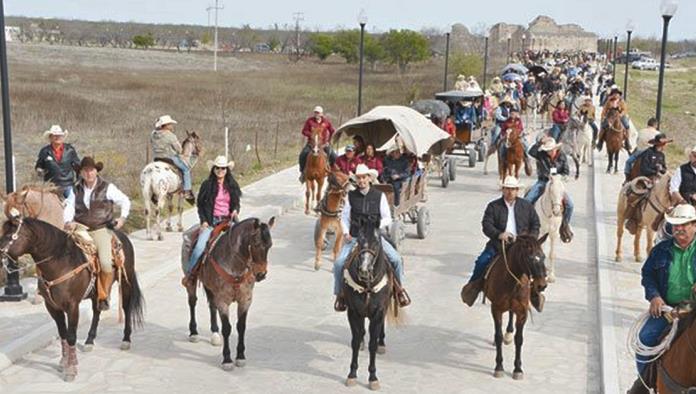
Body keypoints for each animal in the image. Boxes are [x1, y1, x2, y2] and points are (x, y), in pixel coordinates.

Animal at [0, 217, 143, 380]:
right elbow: (63, 333)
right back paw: (89, 341)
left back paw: (126, 339)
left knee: (126, 308)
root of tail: (122, 236)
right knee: (96, 311)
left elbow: (71, 336)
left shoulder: (72, 306)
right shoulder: (52, 306)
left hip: (125, 282)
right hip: (96, 293)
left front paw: (71, 369)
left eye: (10, 235)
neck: (61, 262)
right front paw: (63, 361)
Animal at [184, 217, 276, 368]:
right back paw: (194, 333)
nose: (261, 274)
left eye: (270, 245)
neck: (235, 266)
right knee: (192, 302)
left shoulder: (245, 300)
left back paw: (215, 334)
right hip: (191, 280)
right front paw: (227, 359)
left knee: (211, 305)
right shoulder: (223, 301)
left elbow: (241, 327)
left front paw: (240, 356)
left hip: (210, 287)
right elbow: (227, 328)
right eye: (256, 244)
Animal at [342, 220, 402, 390]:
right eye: (359, 241)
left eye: (376, 243)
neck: (367, 284)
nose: (364, 269)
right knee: (361, 332)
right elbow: (355, 342)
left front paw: (373, 378)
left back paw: (382, 343)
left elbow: (373, 345)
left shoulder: (378, 312)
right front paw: (352, 374)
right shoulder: (353, 312)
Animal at [482, 235, 548, 380]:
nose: (542, 285)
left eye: (543, 256)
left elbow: (519, 339)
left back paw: (509, 333)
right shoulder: (496, 309)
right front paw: (499, 367)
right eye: (530, 258)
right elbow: (498, 336)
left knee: (511, 314)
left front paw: (518, 369)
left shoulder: (522, 312)